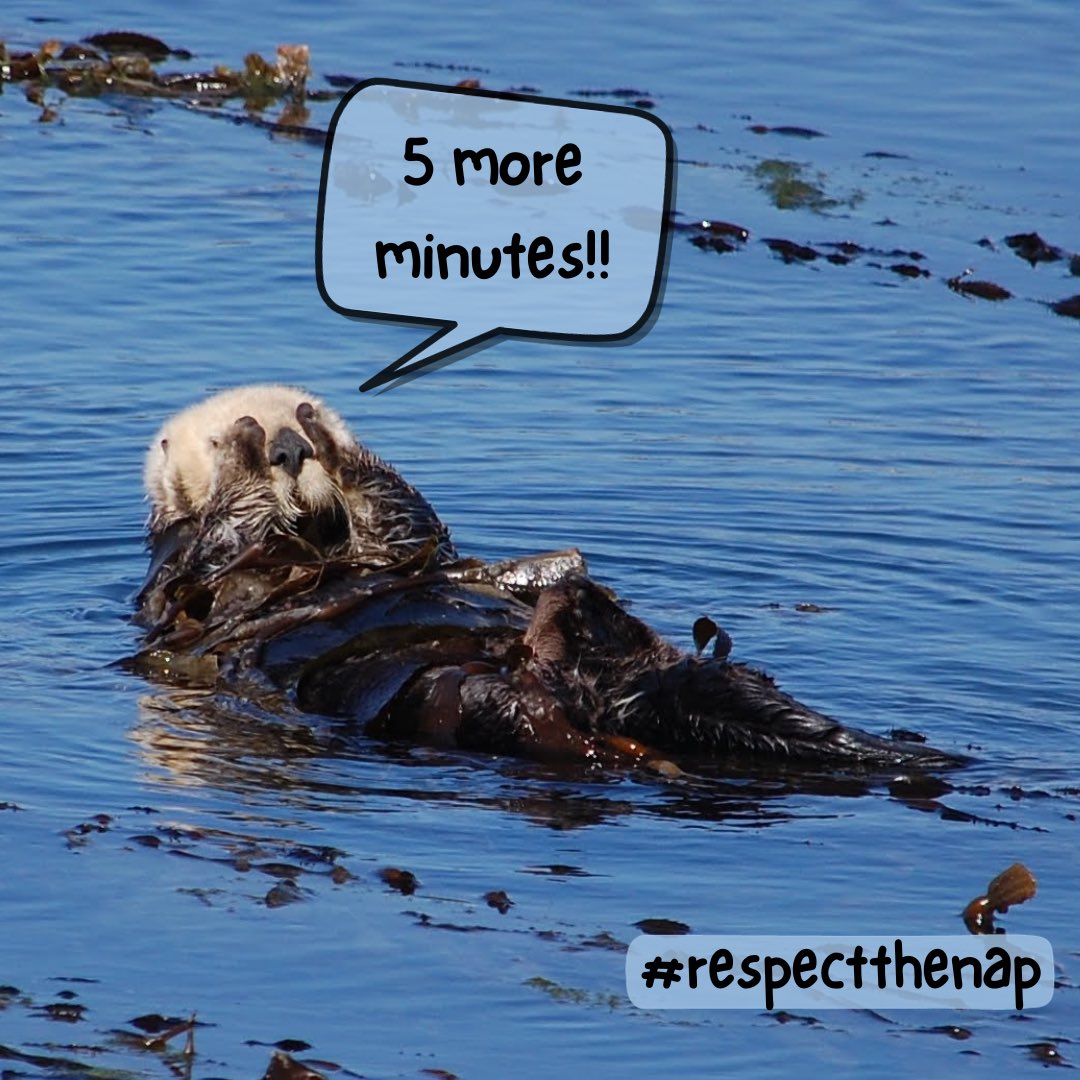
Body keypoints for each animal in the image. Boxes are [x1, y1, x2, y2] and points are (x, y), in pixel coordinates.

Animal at [134, 385, 965, 772]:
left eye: (299, 432)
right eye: (214, 439)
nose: (284, 447)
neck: (316, 546)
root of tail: (611, 697)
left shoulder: (408, 541)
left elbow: (411, 522)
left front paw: (337, 446)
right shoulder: (176, 575)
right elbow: (211, 556)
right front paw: (246, 465)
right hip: (458, 702)